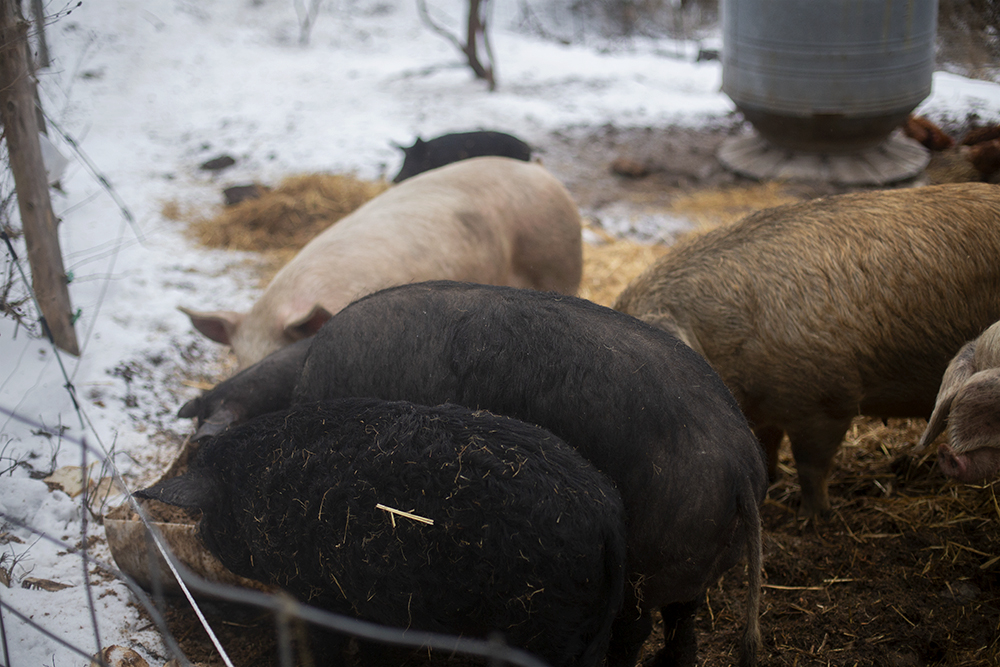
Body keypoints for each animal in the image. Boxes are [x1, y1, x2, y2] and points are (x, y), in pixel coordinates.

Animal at [140, 400, 620, 664]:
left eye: (208, 516)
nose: (202, 535)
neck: (249, 488)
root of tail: (608, 509)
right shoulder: (374, 602)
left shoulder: (319, 592)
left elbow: (328, 648)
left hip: (546, 622)